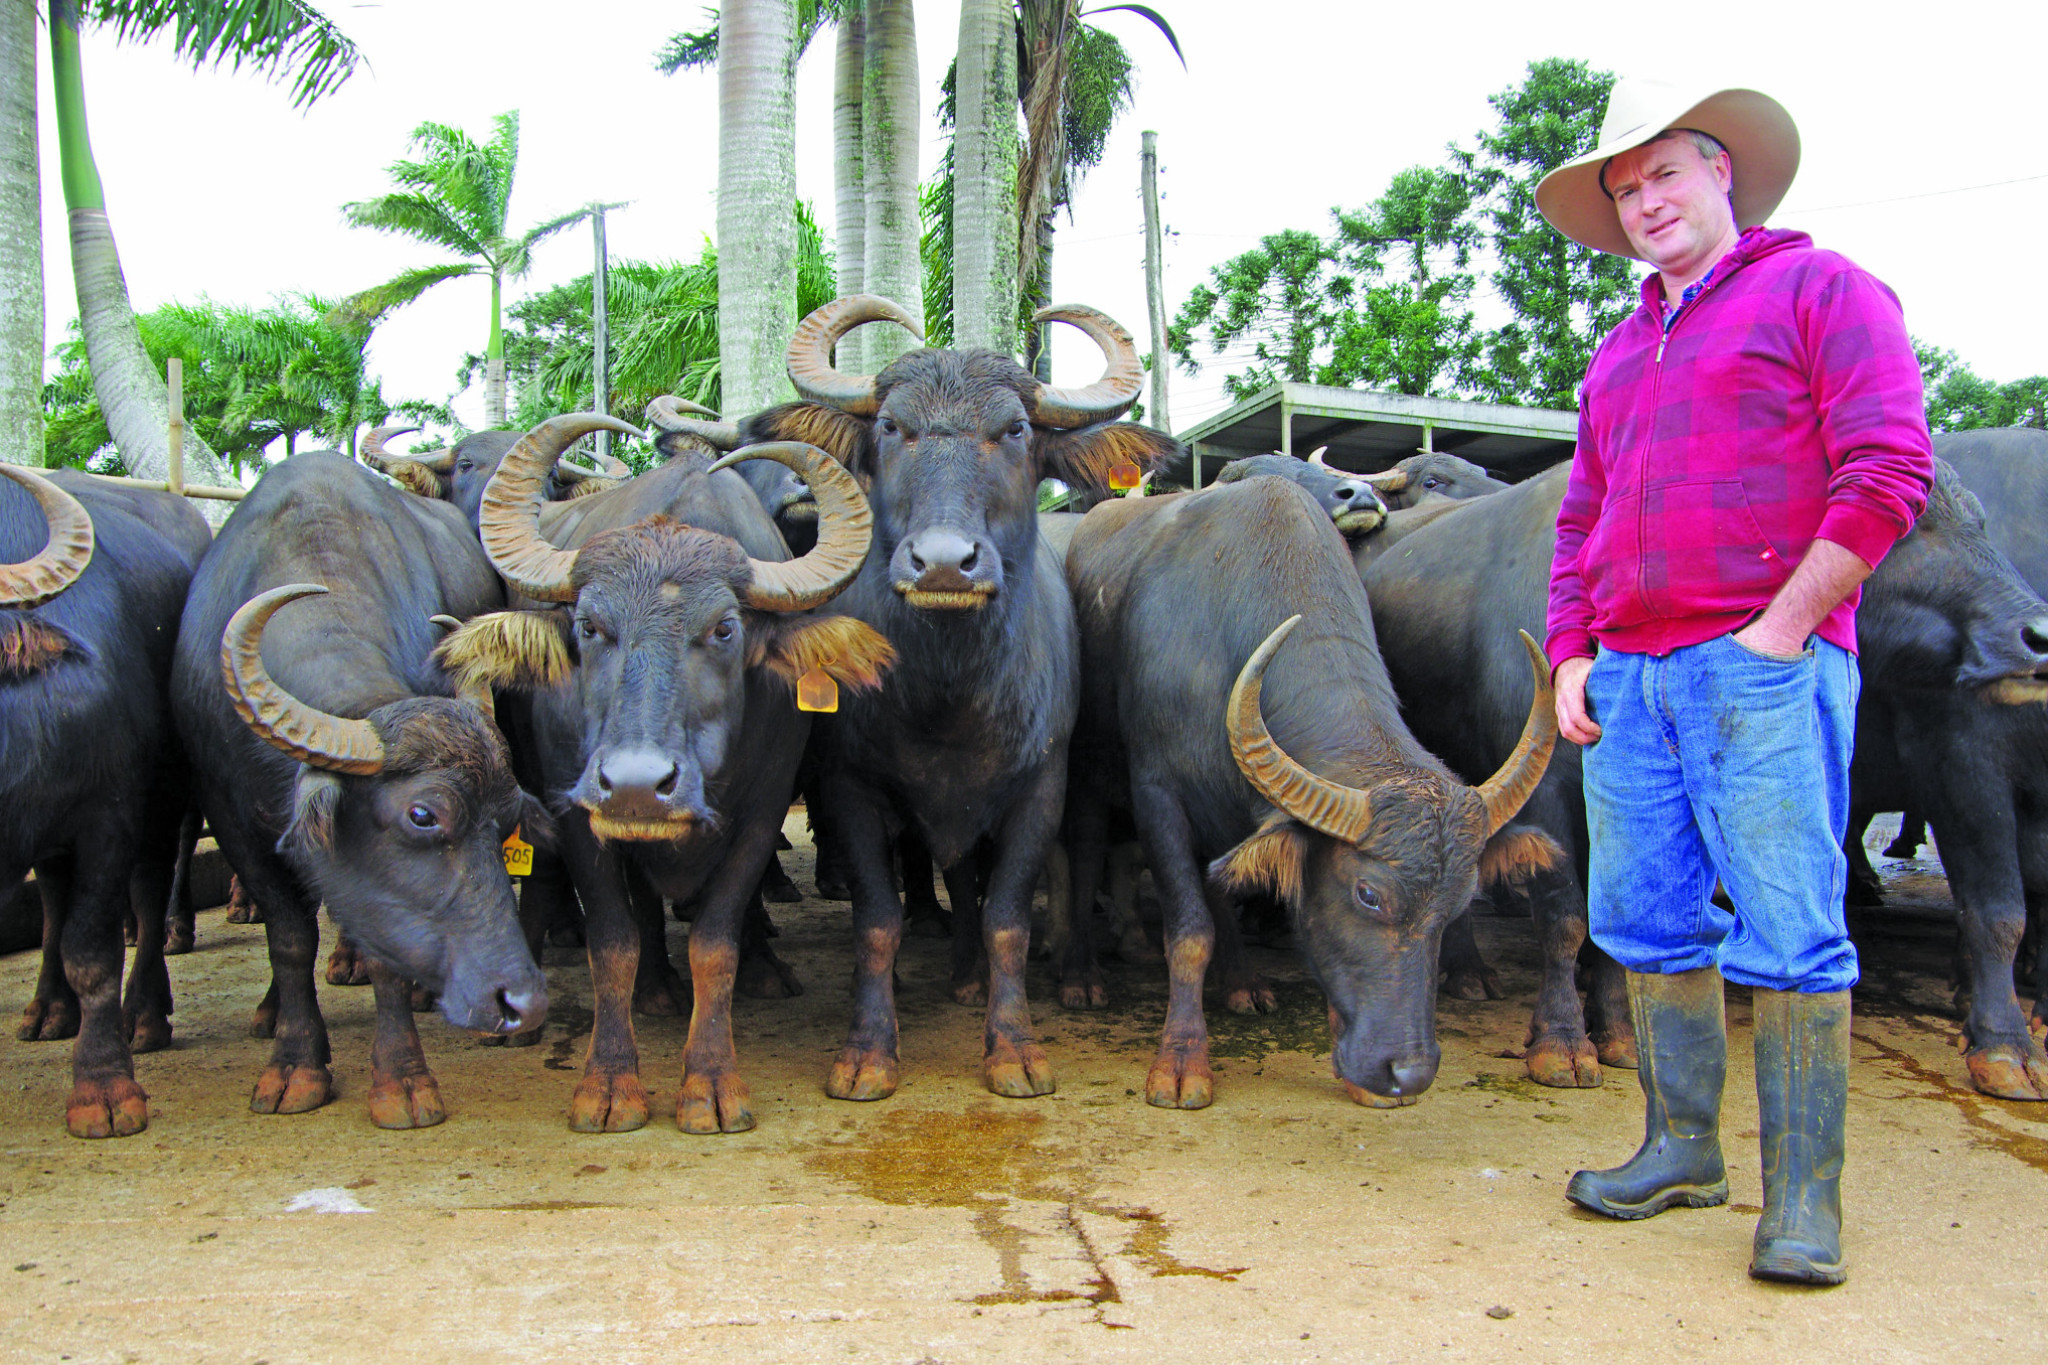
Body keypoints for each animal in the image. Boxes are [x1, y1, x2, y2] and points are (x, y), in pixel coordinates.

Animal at [1, 474, 207, 1137]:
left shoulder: (107, 816)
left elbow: (91, 951)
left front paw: (104, 1088)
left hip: (160, 797)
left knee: (147, 887)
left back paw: (144, 1012)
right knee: (50, 906)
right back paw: (47, 1010)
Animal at [174, 454, 552, 1129]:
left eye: (507, 820)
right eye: (422, 815)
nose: (523, 1001)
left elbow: (384, 953)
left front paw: (402, 1079)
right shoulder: (232, 818)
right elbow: (289, 939)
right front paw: (294, 1064)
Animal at [741, 290, 1179, 1096]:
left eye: (1014, 430)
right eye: (891, 427)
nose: (945, 564)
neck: (949, 695)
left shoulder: (1040, 787)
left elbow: (1008, 915)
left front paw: (1013, 1048)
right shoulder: (850, 788)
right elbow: (878, 919)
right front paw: (868, 1050)